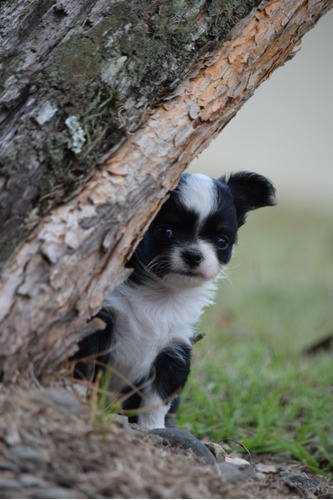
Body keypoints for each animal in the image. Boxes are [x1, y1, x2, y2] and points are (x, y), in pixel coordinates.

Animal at [72, 172, 274, 430]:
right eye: (165, 231)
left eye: (221, 241)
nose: (194, 255)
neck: (160, 294)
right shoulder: (98, 324)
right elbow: (83, 369)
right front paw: (75, 400)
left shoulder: (174, 351)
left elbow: (157, 399)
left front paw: (153, 428)